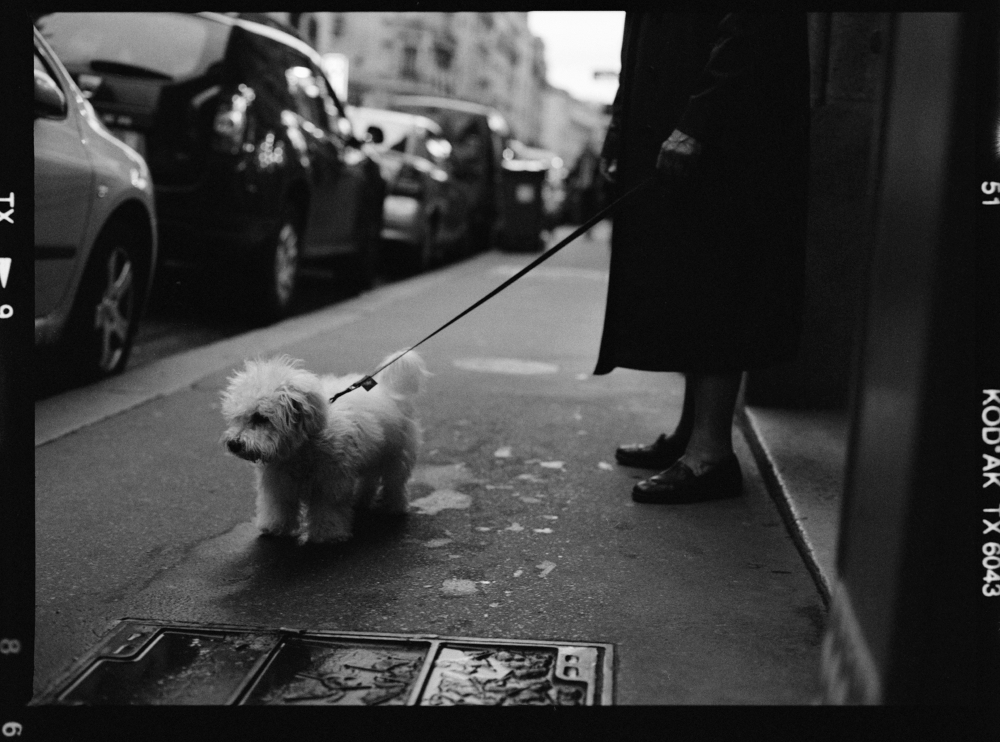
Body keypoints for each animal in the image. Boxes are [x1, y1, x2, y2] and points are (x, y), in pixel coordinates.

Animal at [221, 352, 428, 544]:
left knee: (394, 483)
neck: (299, 450)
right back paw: (361, 500)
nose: (234, 444)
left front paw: (328, 534)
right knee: (369, 480)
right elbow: (278, 506)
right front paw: (275, 527)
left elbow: (327, 509)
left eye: (260, 417)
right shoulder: (280, 484)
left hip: (396, 456)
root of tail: (391, 390)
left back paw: (394, 506)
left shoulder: (329, 484)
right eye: (239, 417)